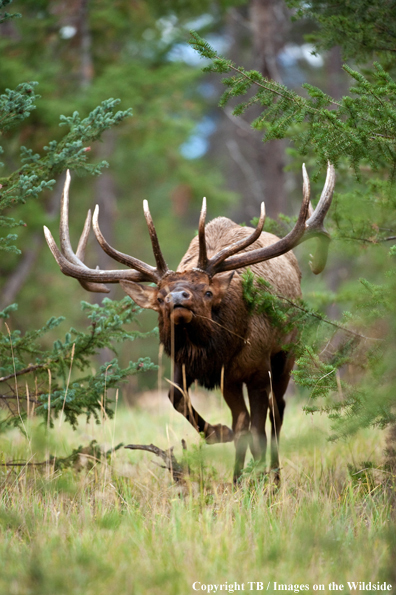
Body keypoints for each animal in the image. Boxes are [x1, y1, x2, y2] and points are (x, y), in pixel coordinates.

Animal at [44, 162, 336, 480]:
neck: (216, 350)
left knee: (276, 410)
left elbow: (259, 426)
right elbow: (178, 399)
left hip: (286, 353)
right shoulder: (191, 365)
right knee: (244, 419)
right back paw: (238, 475)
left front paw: (261, 477)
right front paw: (220, 434)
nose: (177, 297)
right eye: (160, 297)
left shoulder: (257, 368)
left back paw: (273, 475)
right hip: (234, 380)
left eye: (207, 291)